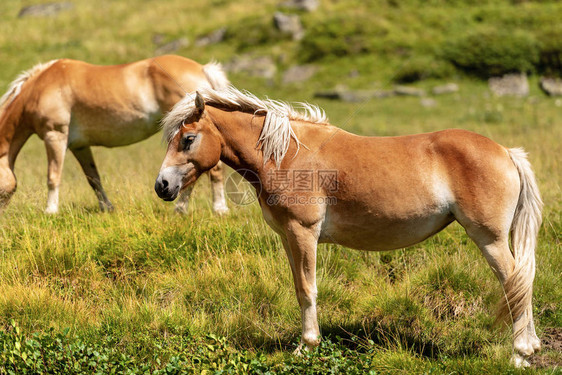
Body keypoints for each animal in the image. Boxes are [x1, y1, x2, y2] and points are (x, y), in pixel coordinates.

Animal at [0, 54, 228, 216]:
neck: (41, 87)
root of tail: (202, 69)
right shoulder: (79, 146)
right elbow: (93, 178)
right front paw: (106, 208)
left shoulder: (54, 136)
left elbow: (53, 176)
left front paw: (50, 211)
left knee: (213, 171)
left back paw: (214, 209)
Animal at [155, 87, 540, 368]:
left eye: (187, 139)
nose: (162, 186)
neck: (287, 155)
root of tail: (506, 152)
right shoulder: (288, 238)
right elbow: (299, 288)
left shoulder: (303, 233)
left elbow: (307, 290)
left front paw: (307, 346)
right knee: (521, 281)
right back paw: (531, 347)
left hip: (489, 239)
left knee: (514, 282)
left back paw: (519, 353)